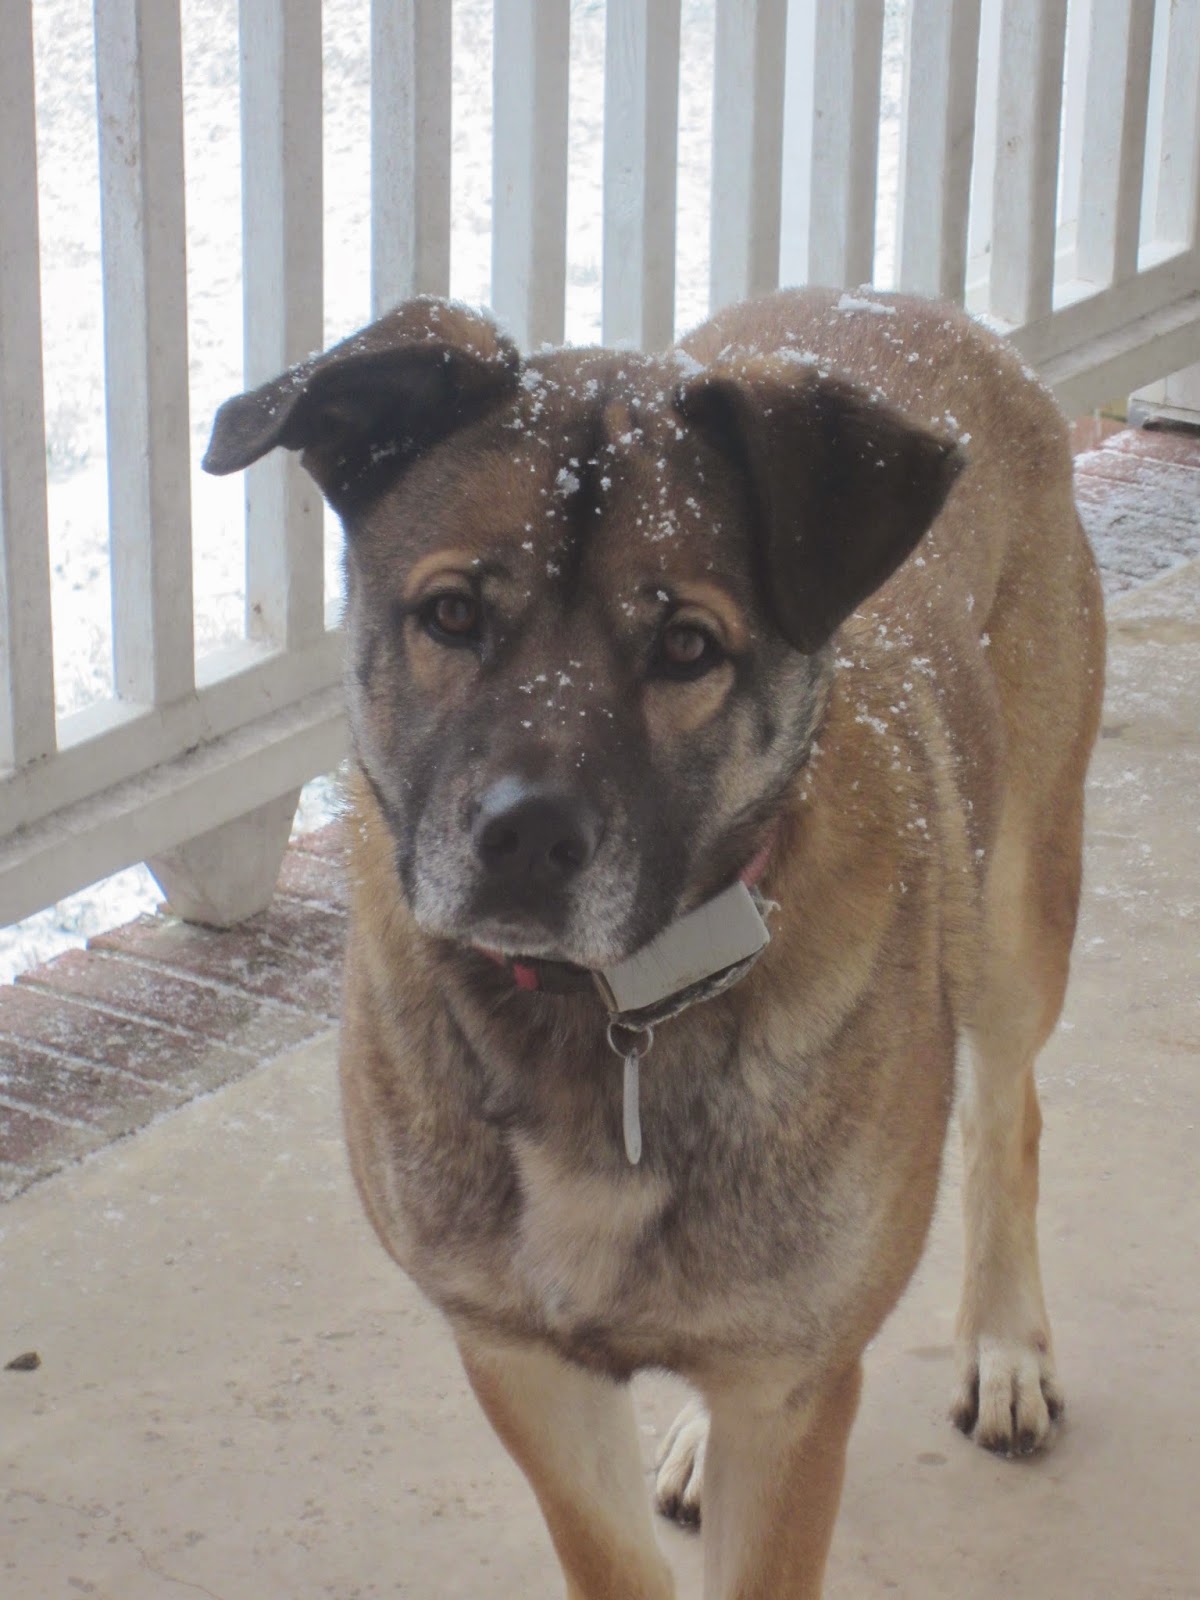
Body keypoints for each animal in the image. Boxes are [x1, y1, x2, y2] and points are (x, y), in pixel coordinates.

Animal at [204, 287, 1105, 1599]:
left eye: (687, 648)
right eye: (452, 614)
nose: (526, 837)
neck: (604, 1013)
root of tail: (913, 306)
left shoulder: (791, 1395)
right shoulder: (524, 1361)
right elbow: (613, 1554)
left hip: (1016, 918)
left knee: (1008, 1111)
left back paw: (1003, 1345)